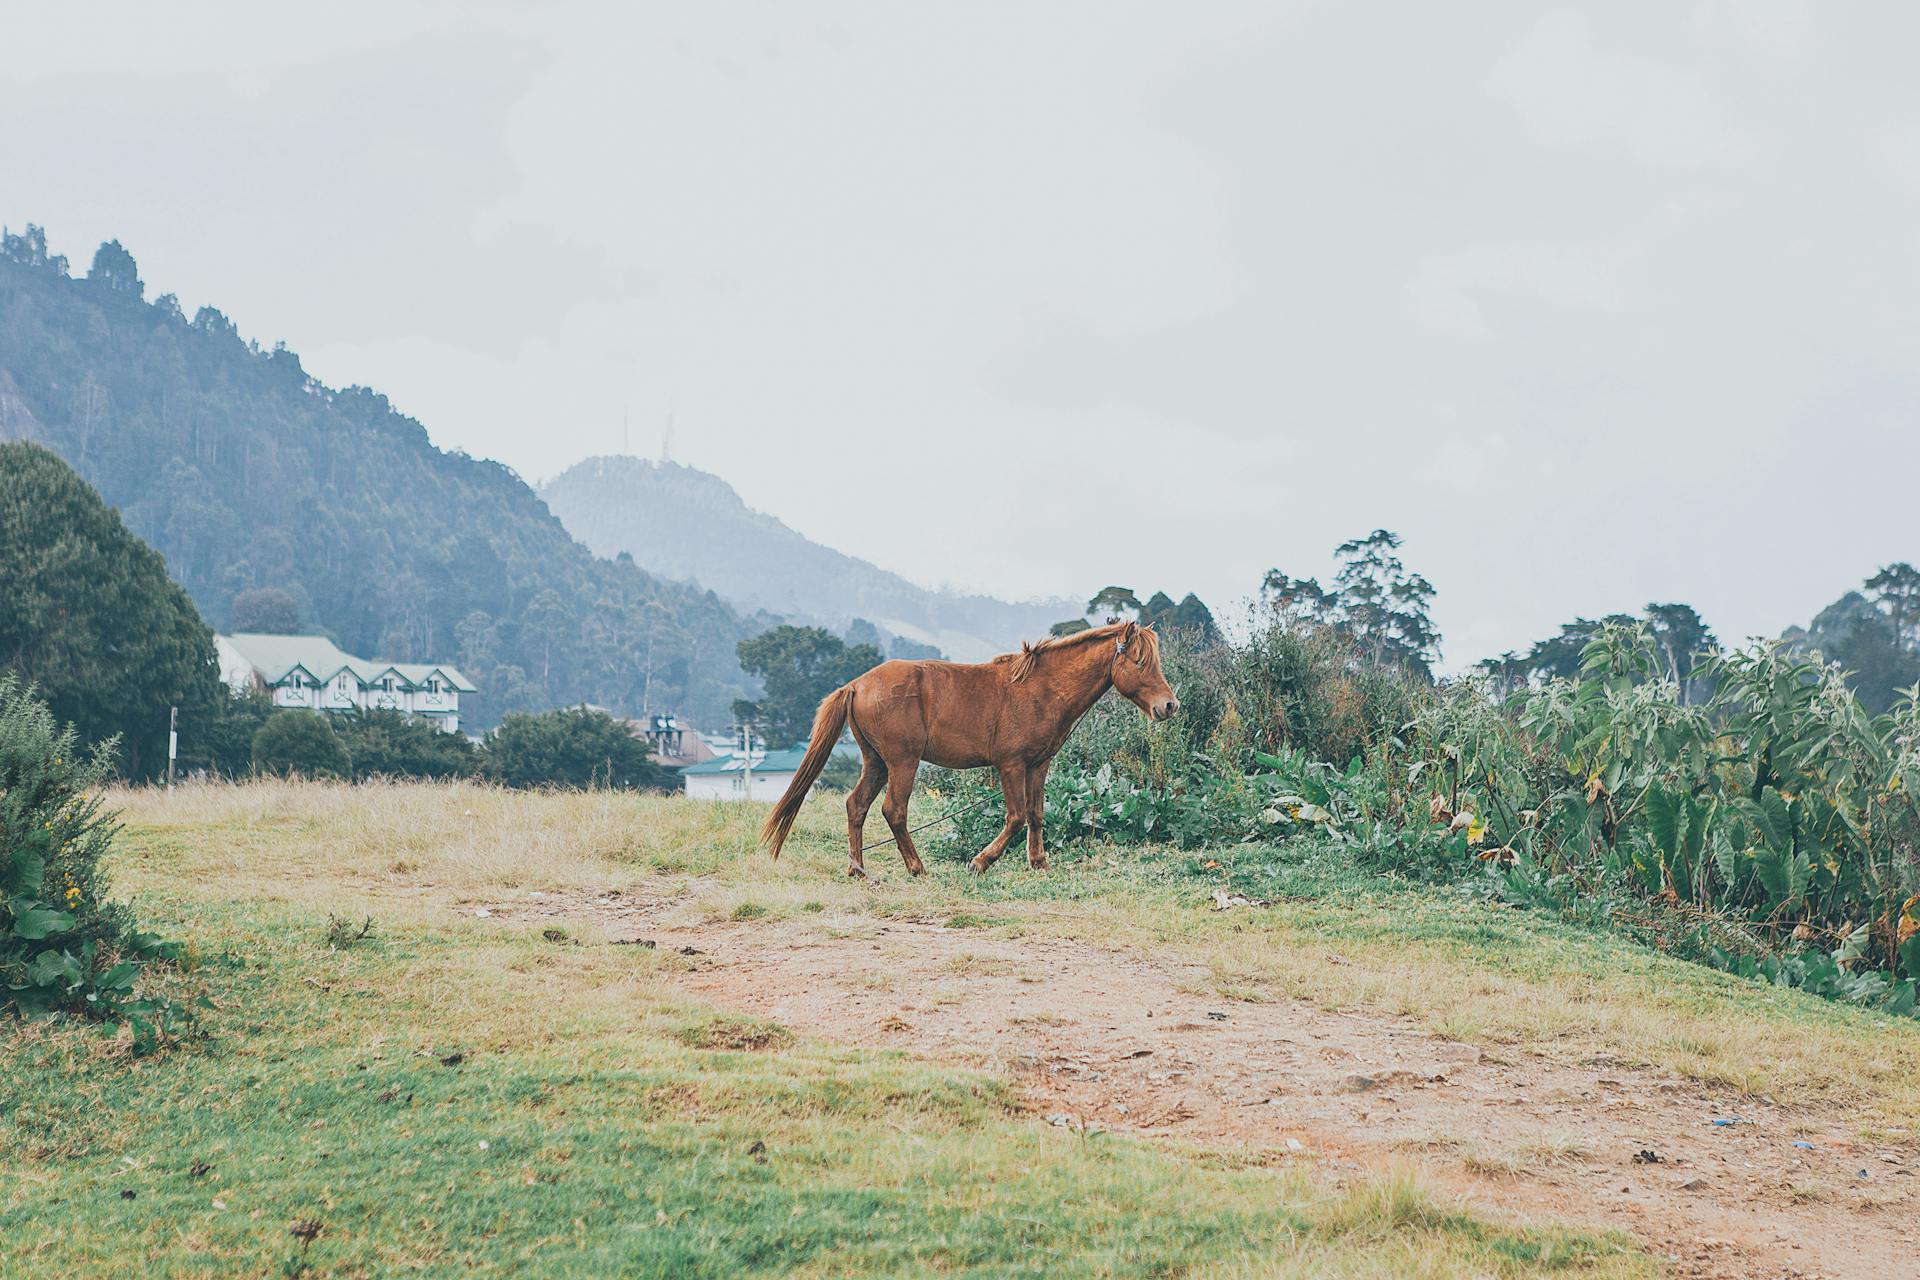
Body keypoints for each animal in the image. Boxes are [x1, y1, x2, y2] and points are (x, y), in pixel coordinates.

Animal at [756, 621, 1175, 882]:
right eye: (1140, 661)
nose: (1169, 706)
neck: (1041, 687)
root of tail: (857, 685)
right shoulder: (1011, 765)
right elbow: (1015, 817)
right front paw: (980, 862)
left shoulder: (1039, 765)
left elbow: (1036, 815)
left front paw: (1039, 863)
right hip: (902, 762)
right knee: (894, 811)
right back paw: (916, 867)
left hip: (876, 762)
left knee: (856, 806)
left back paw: (858, 869)